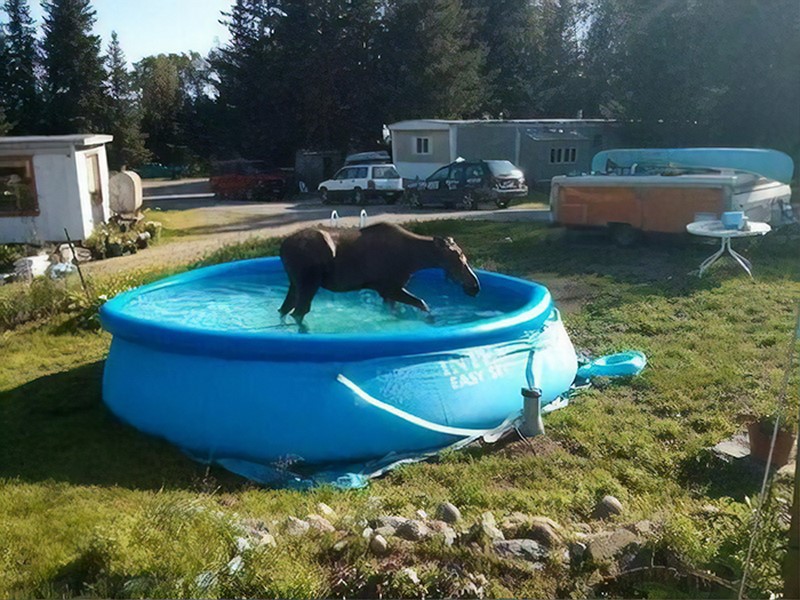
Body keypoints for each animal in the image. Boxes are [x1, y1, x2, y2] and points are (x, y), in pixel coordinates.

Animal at [280, 221, 482, 328]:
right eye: (459, 259)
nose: (475, 286)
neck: (415, 259)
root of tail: (282, 249)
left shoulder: (389, 293)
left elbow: (397, 312)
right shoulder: (389, 289)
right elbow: (423, 304)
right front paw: (430, 321)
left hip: (294, 284)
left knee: (284, 309)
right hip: (309, 283)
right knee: (299, 312)